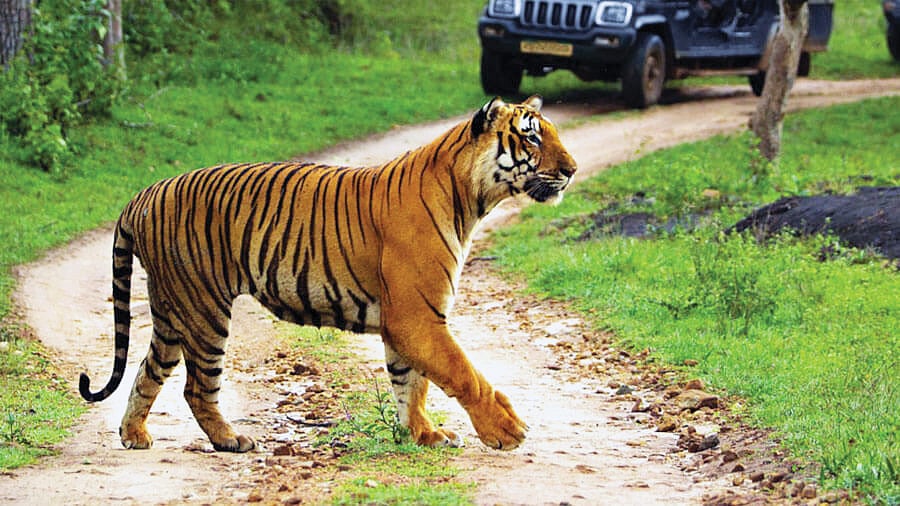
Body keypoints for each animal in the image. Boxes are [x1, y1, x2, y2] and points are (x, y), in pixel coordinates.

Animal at [79, 95, 577, 452]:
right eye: (532, 139)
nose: (572, 171)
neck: (470, 197)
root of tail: (143, 194)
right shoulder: (417, 315)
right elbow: (463, 373)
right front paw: (505, 430)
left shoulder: (408, 319)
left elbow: (411, 383)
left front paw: (423, 434)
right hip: (204, 310)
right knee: (197, 388)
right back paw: (231, 440)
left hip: (171, 311)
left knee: (147, 372)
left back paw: (134, 435)